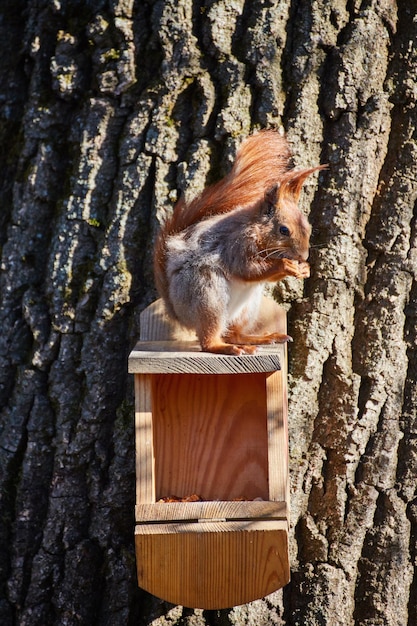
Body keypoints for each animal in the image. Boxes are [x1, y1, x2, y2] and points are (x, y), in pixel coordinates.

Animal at [154, 129, 324, 354]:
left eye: (309, 227)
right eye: (284, 230)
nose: (303, 256)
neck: (255, 229)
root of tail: (177, 313)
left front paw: (304, 269)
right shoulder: (235, 244)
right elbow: (246, 270)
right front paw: (284, 265)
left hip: (246, 308)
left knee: (232, 332)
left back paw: (258, 339)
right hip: (206, 293)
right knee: (208, 339)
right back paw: (224, 347)